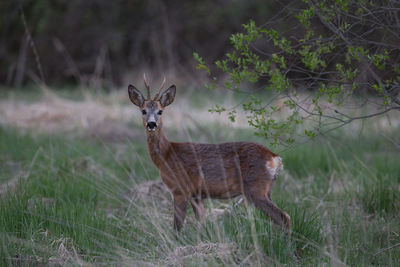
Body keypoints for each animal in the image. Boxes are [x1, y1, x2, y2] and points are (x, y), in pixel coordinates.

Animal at [128, 75, 290, 232]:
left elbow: (177, 228)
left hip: (255, 188)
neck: (166, 154)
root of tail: (275, 158)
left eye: (160, 111)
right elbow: (203, 225)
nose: (151, 124)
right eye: (143, 111)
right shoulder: (197, 195)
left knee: (284, 217)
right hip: (267, 189)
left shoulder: (179, 189)